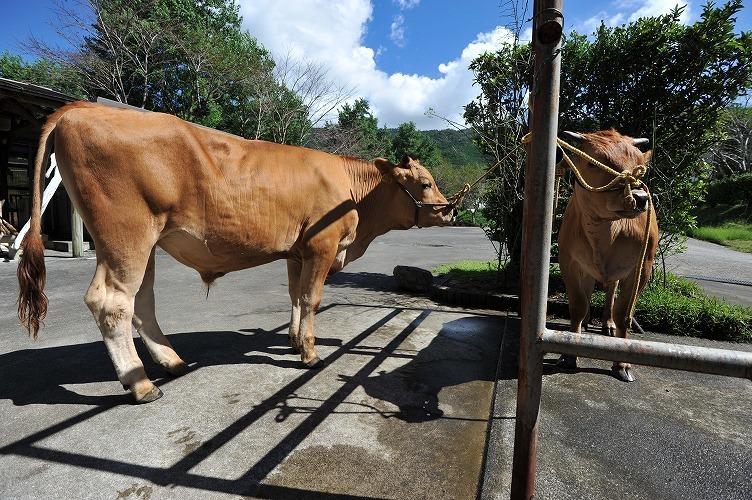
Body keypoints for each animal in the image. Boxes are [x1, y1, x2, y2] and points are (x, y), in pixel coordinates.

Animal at [16, 101, 452, 402]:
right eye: (425, 183)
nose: (450, 210)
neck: (353, 195)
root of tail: (81, 108)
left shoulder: (297, 252)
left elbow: (295, 296)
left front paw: (295, 341)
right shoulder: (321, 246)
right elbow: (311, 298)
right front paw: (310, 354)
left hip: (143, 244)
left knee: (141, 303)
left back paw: (172, 363)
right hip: (126, 236)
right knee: (111, 302)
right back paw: (140, 384)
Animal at [560, 129, 656, 382]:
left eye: (640, 167)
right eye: (594, 163)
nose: (639, 197)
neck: (605, 232)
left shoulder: (643, 268)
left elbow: (623, 313)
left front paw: (622, 364)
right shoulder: (570, 262)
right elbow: (578, 306)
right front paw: (570, 354)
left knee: (611, 293)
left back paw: (608, 324)